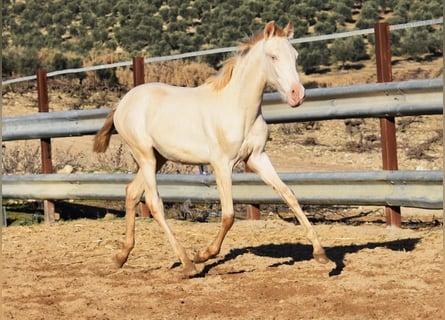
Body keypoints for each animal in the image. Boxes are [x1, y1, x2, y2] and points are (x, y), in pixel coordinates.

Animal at [93, 21, 330, 278]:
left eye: (295, 56)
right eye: (273, 56)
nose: (298, 94)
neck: (239, 107)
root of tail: (122, 103)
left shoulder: (256, 157)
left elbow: (289, 194)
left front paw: (322, 255)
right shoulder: (222, 164)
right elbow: (228, 215)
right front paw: (203, 255)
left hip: (159, 158)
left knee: (132, 192)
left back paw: (121, 256)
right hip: (144, 155)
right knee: (155, 203)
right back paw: (188, 264)